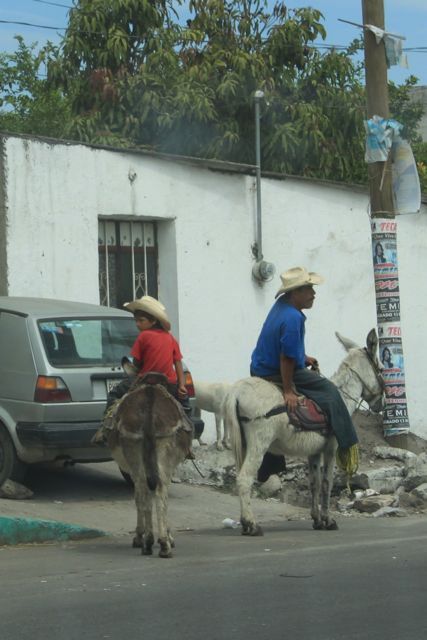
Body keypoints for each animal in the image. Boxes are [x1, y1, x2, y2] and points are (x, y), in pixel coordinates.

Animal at [105, 372, 193, 558]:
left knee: (146, 491)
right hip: (161, 449)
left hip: (137, 451)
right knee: (159, 492)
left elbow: (139, 498)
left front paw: (140, 536)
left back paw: (149, 542)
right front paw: (167, 536)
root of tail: (150, 400)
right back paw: (162, 544)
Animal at [223, 329, 385, 536]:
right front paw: (328, 520)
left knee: (239, 476)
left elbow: (314, 483)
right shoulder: (330, 448)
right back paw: (251, 524)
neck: (341, 395)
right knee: (245, 479)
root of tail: (237, 391)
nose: (381, 405)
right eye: (382, 370)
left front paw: (317, 519)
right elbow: (327, 482)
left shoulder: (314, 452)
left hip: (242, 443)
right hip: (259, 443)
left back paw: (245, 522)